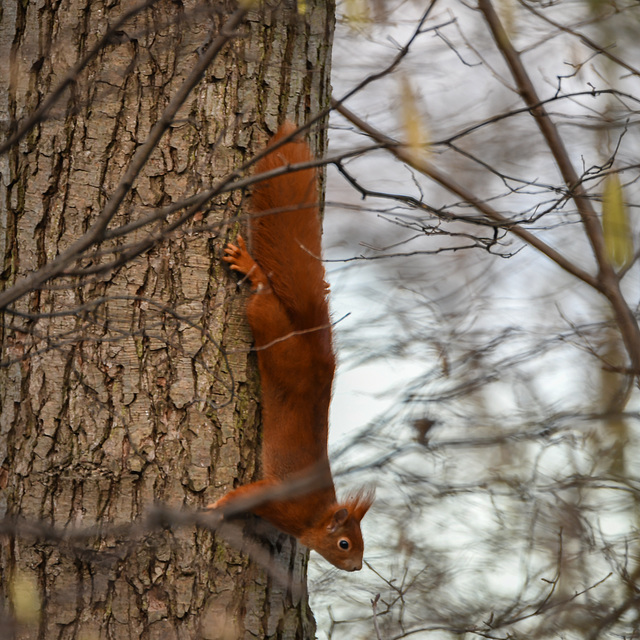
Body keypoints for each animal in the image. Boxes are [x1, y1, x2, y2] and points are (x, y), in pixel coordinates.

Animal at [209, 122, 370, 572]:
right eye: (345, 544)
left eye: (362, 543)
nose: (357, 567)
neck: (314, 516)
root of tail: (316, 343)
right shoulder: (278, 498)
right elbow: (243, 496)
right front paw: (216, 507)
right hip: (269, 324)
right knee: (264, 291)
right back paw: (249, 267)